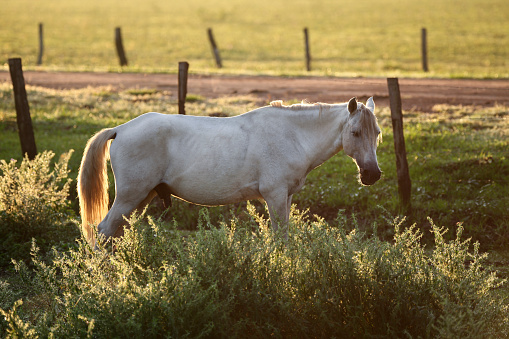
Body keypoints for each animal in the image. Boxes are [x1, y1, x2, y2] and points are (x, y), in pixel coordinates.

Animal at [77, 97, 380, 246]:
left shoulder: (286, 196)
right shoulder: (274, 196)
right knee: (103, 231)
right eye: (355, 132)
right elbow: (279, 237)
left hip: (141, 198)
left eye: (377, 132)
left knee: (116, 233)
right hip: (130, 197)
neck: (292, 135)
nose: (372, 175)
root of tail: (121, 129)